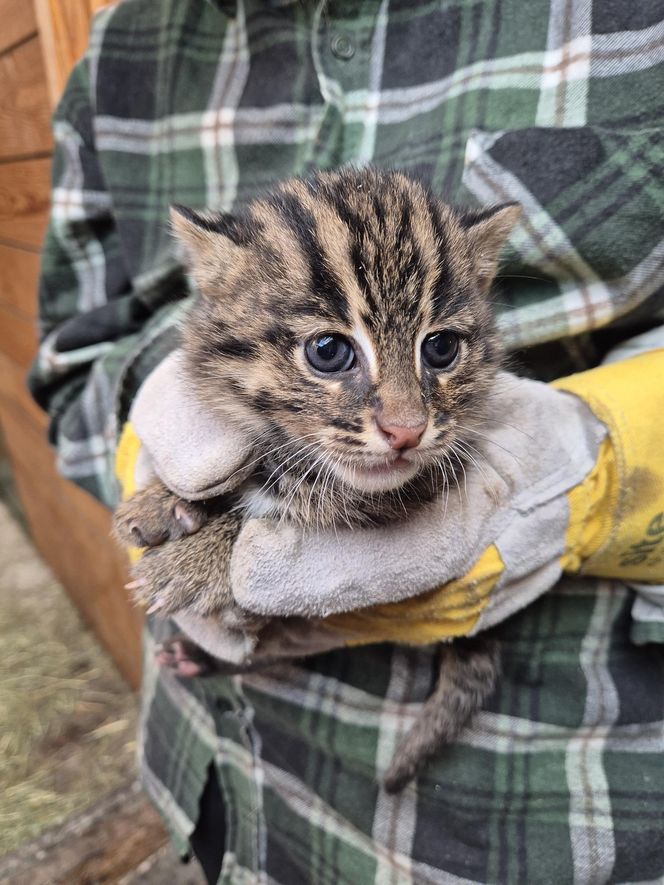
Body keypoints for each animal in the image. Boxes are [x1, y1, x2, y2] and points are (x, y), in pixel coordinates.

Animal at [113, 169, 520, 792]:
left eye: (441, 348)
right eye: (327, 351)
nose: (406, 431)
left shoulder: (418, 481)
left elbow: (294, 494)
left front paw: (194, 559)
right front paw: (163, 500)